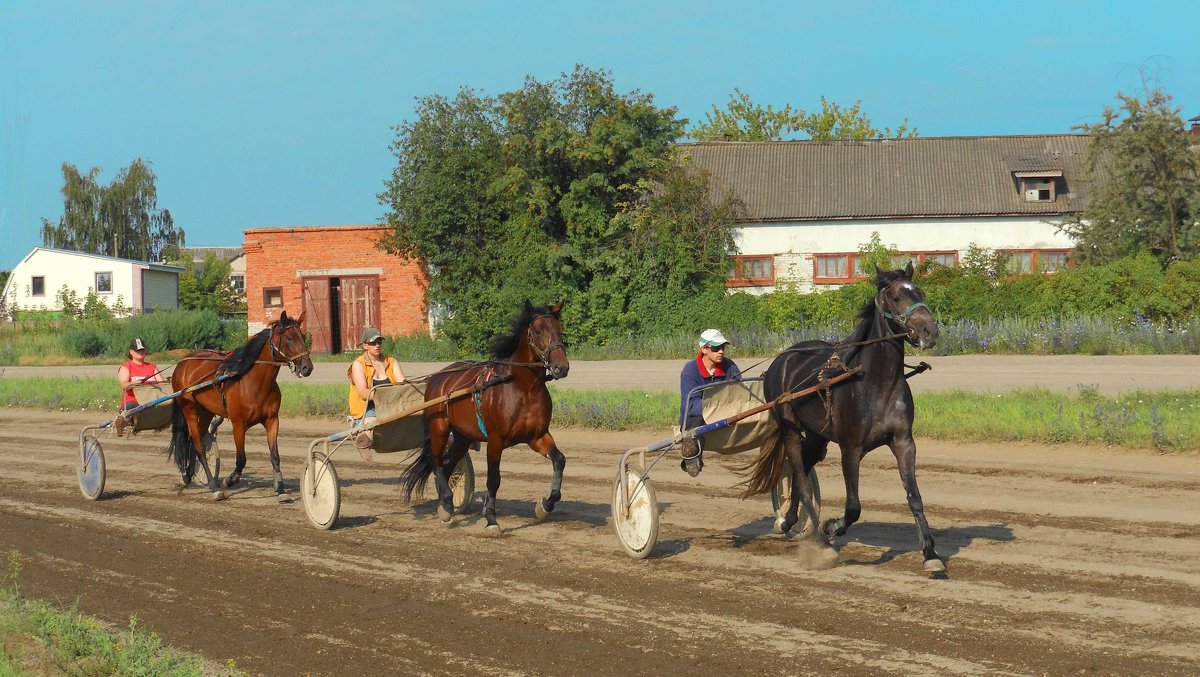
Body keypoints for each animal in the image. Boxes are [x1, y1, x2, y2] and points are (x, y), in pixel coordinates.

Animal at [164, 309, 314, 496]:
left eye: (302, 336)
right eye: (290, 338)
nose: (307, 367)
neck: (253, 383)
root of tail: (182, 362)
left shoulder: (272, 419)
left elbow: (275, 456)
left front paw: (280, 489)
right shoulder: (238, 424)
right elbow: (241, 459)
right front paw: (230, 480)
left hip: (205, 410)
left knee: (193, 440)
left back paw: (188, 475)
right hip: (188, 406)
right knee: (198, 444)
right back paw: (213, 486)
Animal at [400, 300, 568, 535]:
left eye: (561, 330)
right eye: (537, 330)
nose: (561, 367)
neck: (524, 389)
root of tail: (437, 376)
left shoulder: (537, 436)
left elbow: (559, 460)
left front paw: (545, 505)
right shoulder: (496, 440)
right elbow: (493, 479)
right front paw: (491, 520)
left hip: (462, 436)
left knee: (448, 464)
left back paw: (446, 506)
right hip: (439, 428)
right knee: (437, 461)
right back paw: (446, 504)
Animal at [748, 262, 945, 571]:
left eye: (920, 292)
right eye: (896, 297)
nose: (929, 331)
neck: (877, 383)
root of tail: (782, 358)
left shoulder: (904, 442)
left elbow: (915, 497)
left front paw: (930, 554)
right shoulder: (850, 448)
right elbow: (853, 507)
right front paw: (830, 527)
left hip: (817, 435)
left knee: (803, 469)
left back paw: (789, 520)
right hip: (788, 426)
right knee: (800, 476)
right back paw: (817, 538)